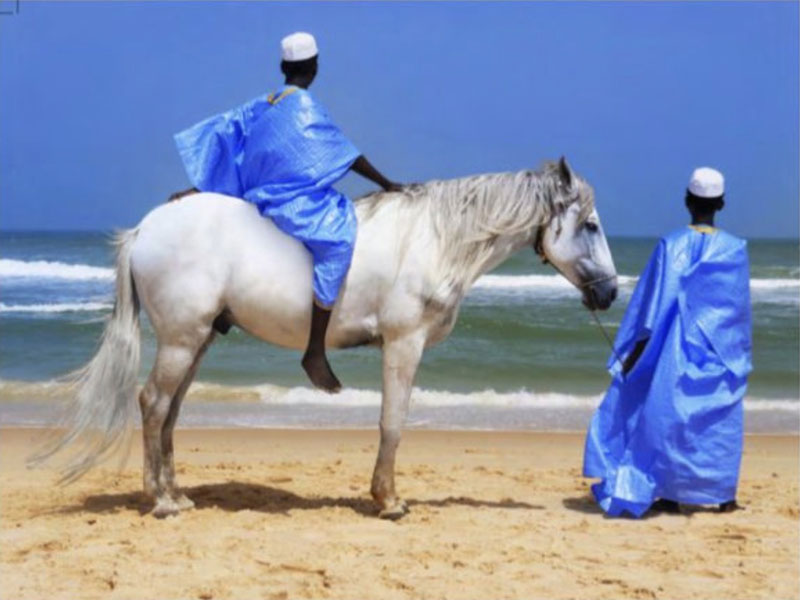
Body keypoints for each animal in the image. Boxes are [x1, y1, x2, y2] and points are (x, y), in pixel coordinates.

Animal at [32, 157, 617, 519]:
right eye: (589, 225)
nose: (611, 291)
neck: (434, 238)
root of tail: (146, 229)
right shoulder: (404, 343)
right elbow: (393, 421)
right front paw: (387, 499)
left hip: (198, 340)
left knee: (169, 410)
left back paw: (175, 492)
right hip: (181, 338)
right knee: (153, 403)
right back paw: (161, 500)